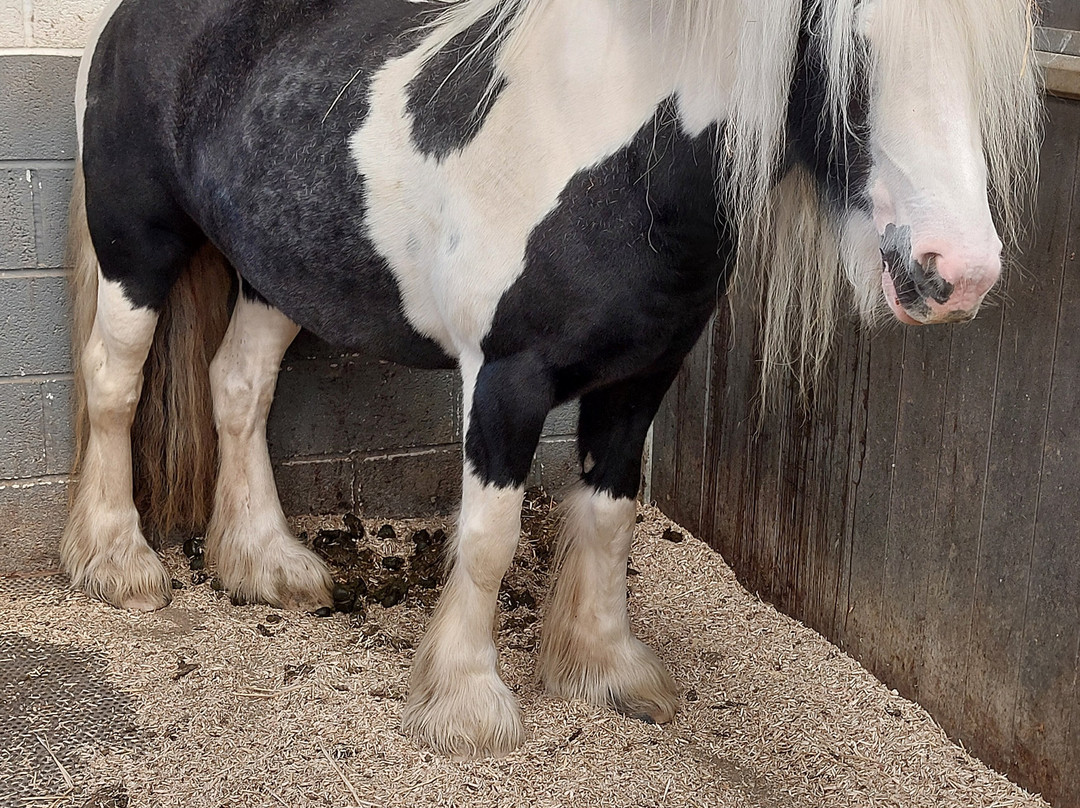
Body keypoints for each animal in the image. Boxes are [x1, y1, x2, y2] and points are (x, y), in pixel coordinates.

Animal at [64, 0, 1040, 757]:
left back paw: (265, 564)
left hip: (274, 275)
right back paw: (119, 564)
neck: (614, 157)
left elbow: (610, 519)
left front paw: (606, 670)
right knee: (113, 383)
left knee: (238, 388)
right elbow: (489, 538)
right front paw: (467, 703)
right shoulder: (506, 381)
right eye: (848, 51)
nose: (958, 273)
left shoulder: (641, 380)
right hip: (136, 250)